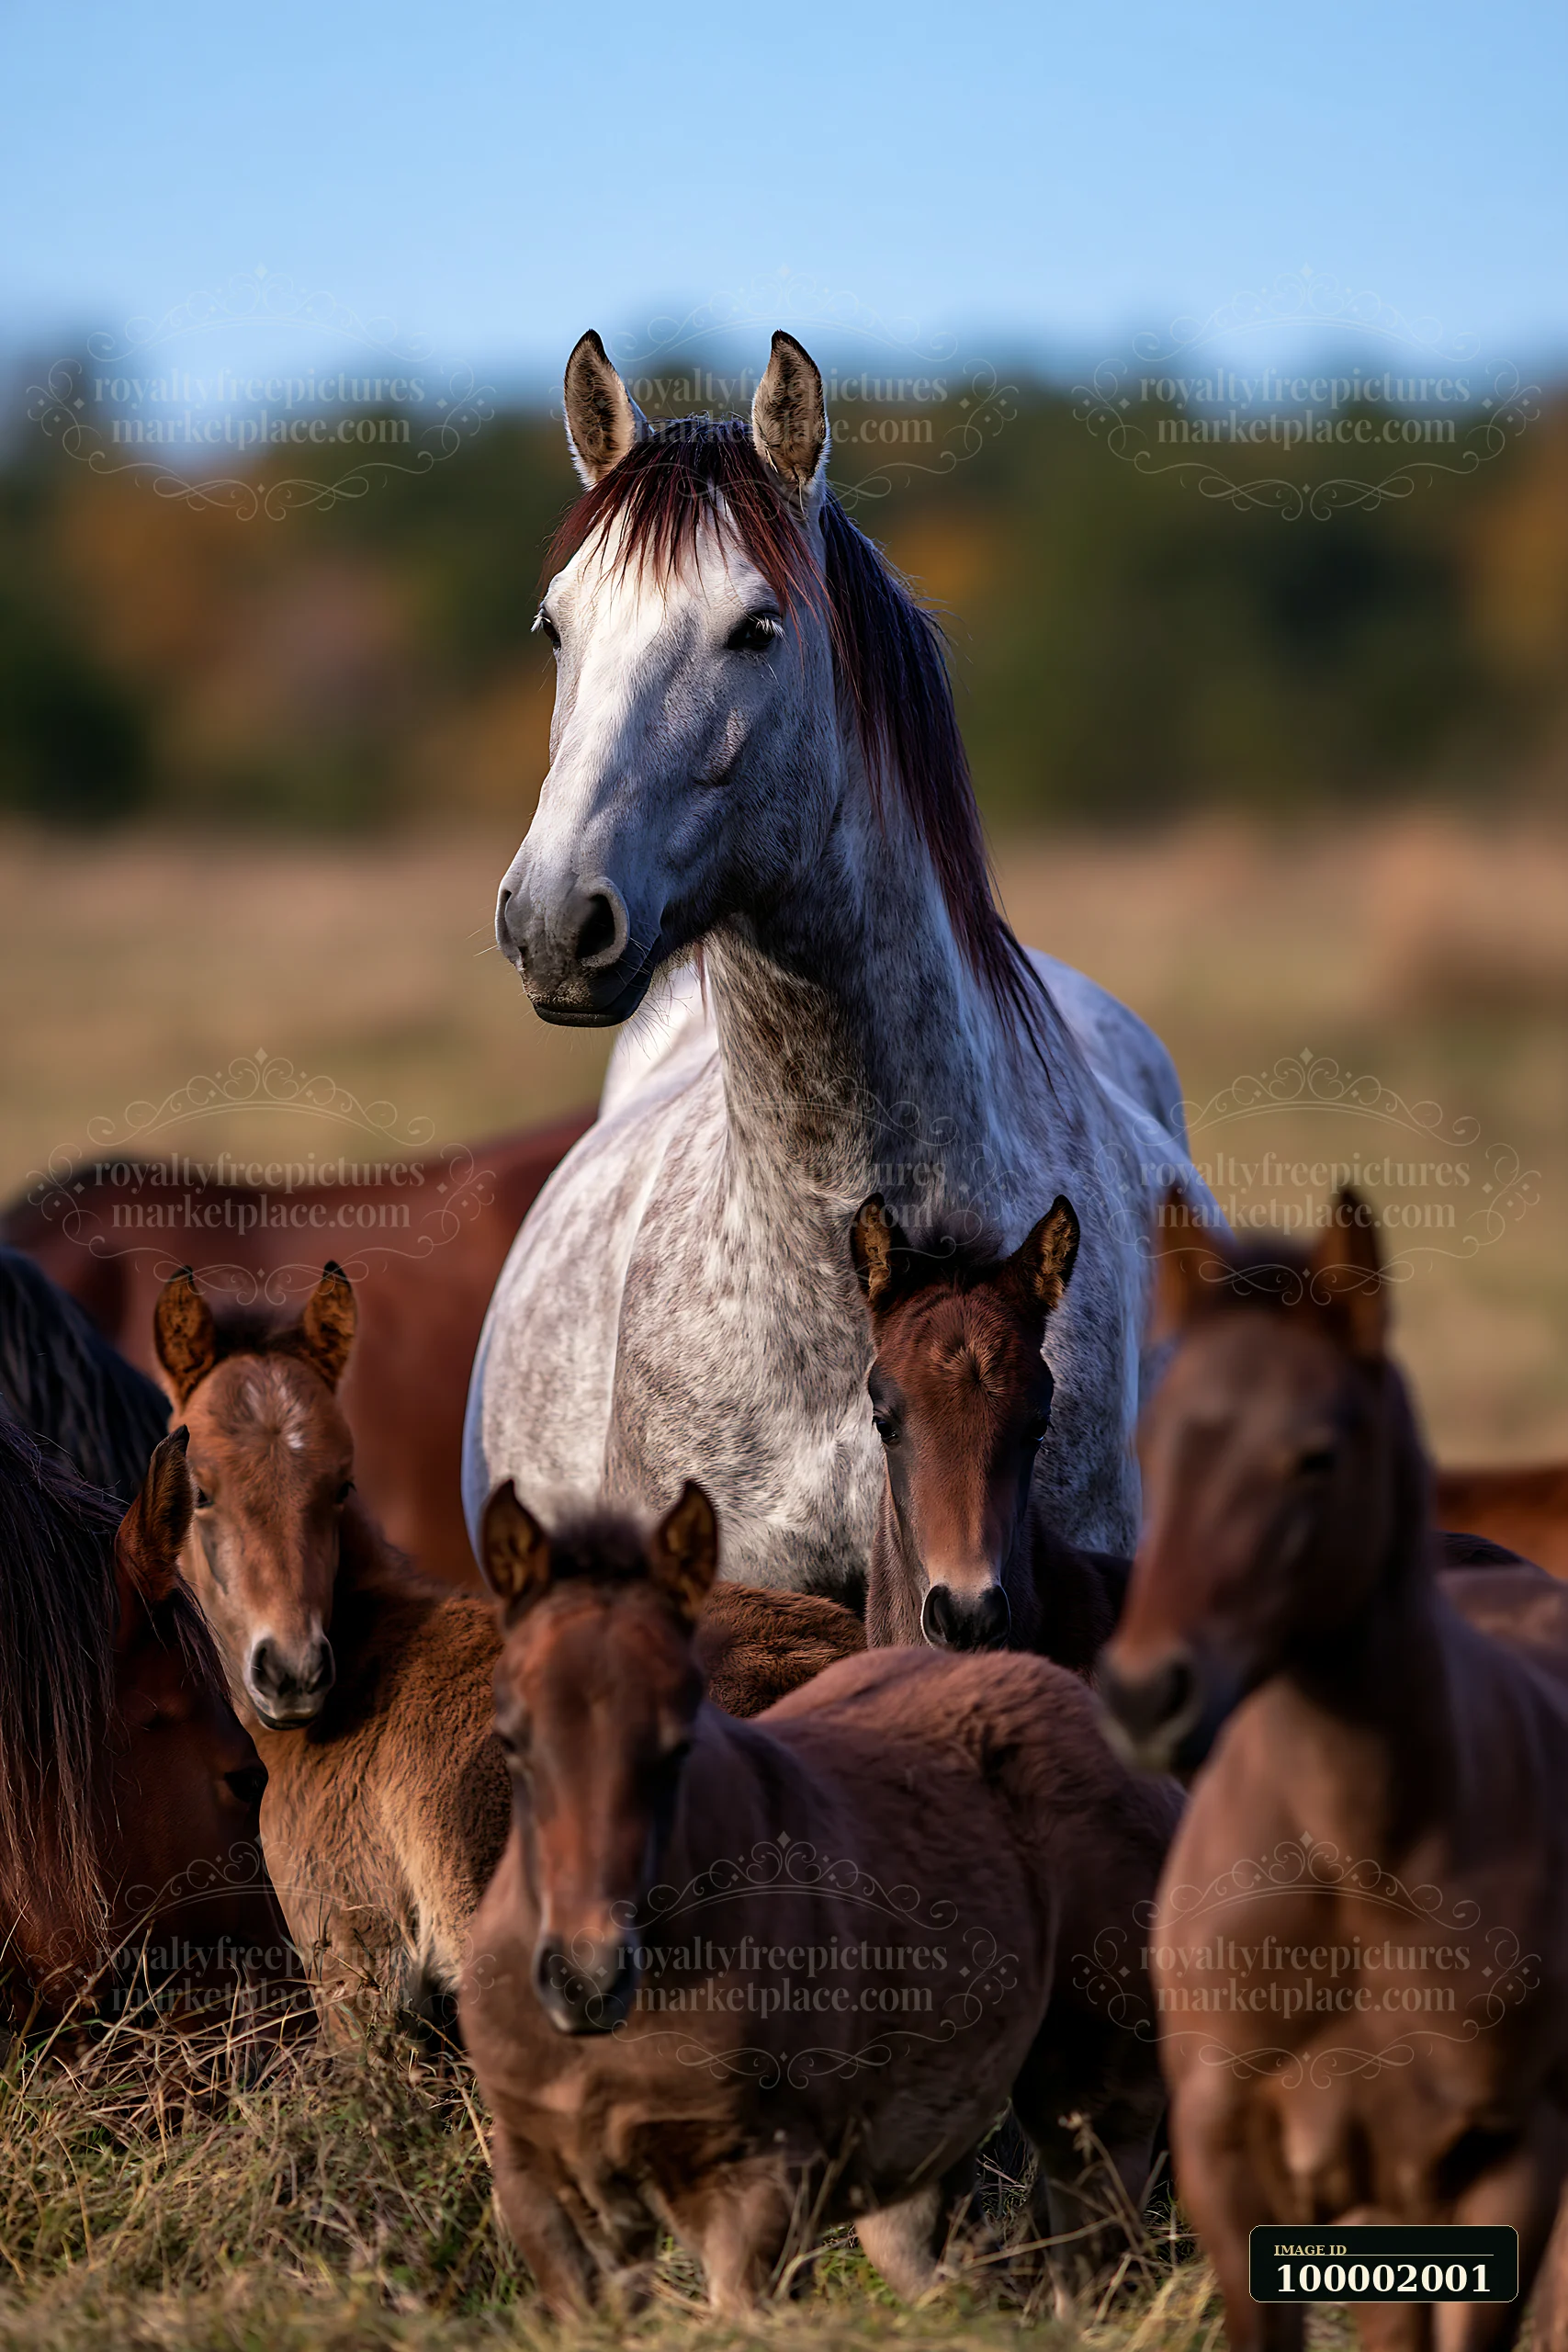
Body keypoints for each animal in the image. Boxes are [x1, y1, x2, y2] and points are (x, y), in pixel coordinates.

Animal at [459, 1479, 1178, 2317]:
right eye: (511, 1737)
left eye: (681, 1739)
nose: (587, 1979)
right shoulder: (541, 2188)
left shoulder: (756, 2192)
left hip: (1095, 2098)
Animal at [1098, 1195, 1568, 2351]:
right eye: (1152, 1445)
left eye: (1316, 1454)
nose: (1146, 1693)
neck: (1358, 1865)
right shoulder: (1237, 2158)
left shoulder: (1504, 2164)